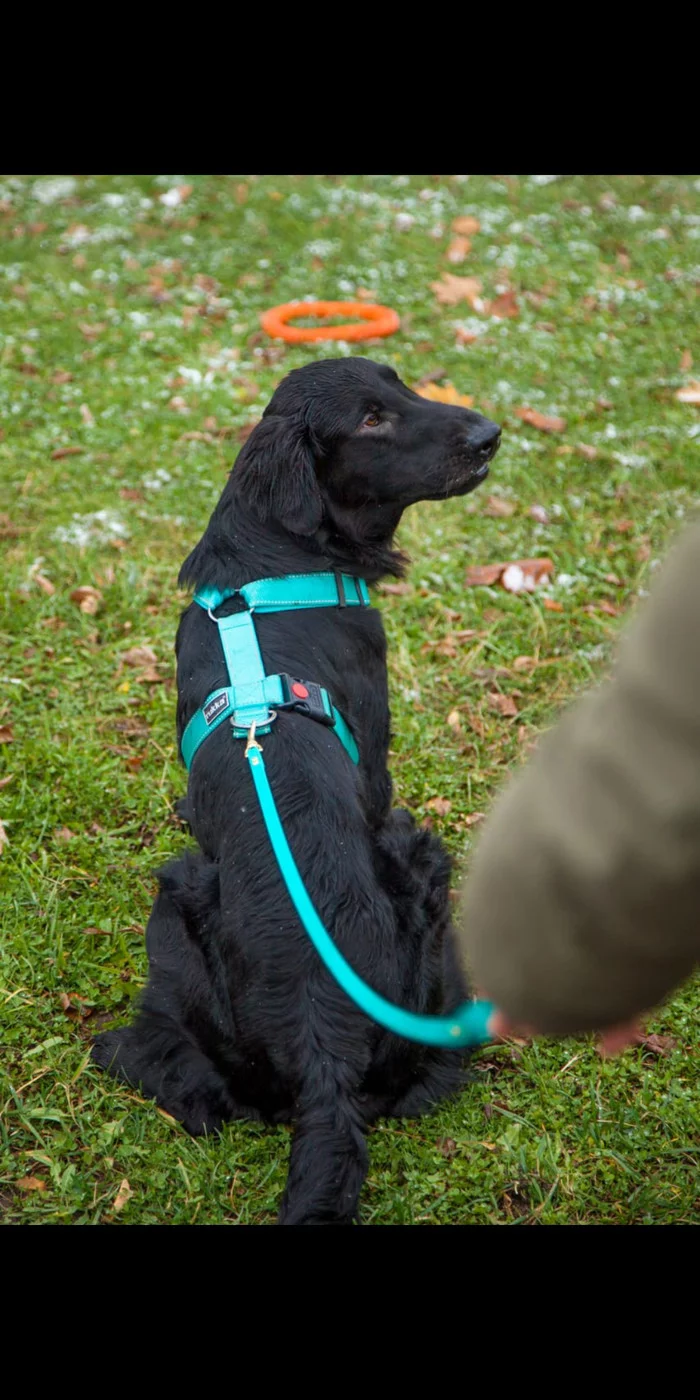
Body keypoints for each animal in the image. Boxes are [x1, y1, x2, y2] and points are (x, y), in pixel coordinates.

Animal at [93, 355, 501, 1220]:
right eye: (371, 420)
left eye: (401, 385)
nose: (489, 435)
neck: (274, 560)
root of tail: (324, 1048)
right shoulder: (376, 756)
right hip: (407, 866)